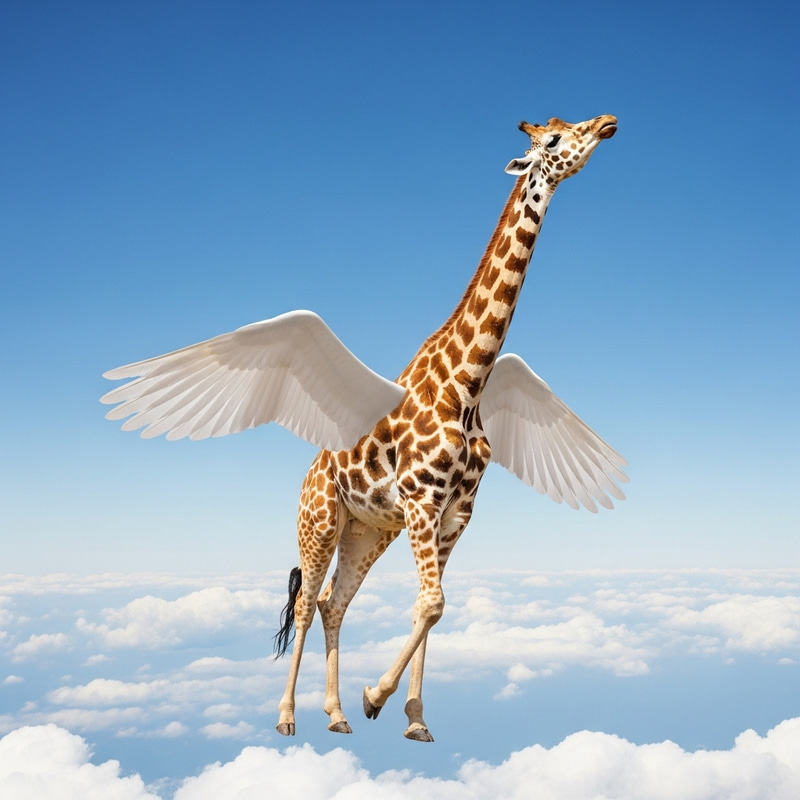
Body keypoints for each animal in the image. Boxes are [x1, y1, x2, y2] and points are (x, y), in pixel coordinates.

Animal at [101, 114, 626, 743]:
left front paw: (414, 719)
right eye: (552, 141)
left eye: (569, 126)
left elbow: (432, 605)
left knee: (335, 602)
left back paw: (335, 714)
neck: (468, 383)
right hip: (321, 521)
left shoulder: (455, 514)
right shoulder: (423, 503)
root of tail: (310, 471)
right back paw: (289, 716)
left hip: (368, 531)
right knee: (308, 603)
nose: (607, 124)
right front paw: (377, 697)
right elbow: (432, 604)